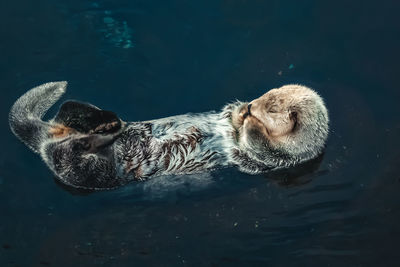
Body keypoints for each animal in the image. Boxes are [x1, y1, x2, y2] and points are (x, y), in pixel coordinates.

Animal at [8, 82, 328, 191]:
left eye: (272, 108)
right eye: (266, 95)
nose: (251, 106)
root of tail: (46, 142)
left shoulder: (274, 160)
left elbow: (258, 146)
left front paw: (250, 123)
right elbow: (230, 114)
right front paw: (239, 111)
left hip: (94, 173)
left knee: (74, 157)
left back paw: (101, 133)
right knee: (67, 106)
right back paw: (106, 122)